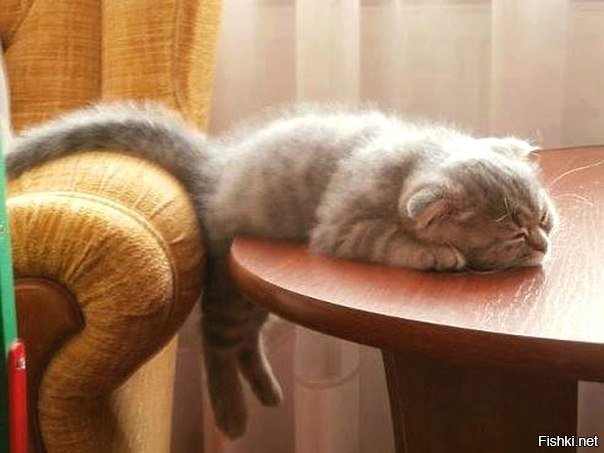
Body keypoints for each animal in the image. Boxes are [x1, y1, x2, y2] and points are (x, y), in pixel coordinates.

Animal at [5, 102, 557, 437]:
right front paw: (437, 253)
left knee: (247, 339)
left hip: (253, 299)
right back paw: (230, 414)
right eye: (514, 233)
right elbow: (390, 239)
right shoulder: (337, 229)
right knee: (215, 340)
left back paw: (268, 391)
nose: (543, 242)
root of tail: (217, 166)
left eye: (543, 217)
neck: (413, 155)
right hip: (229, 286)